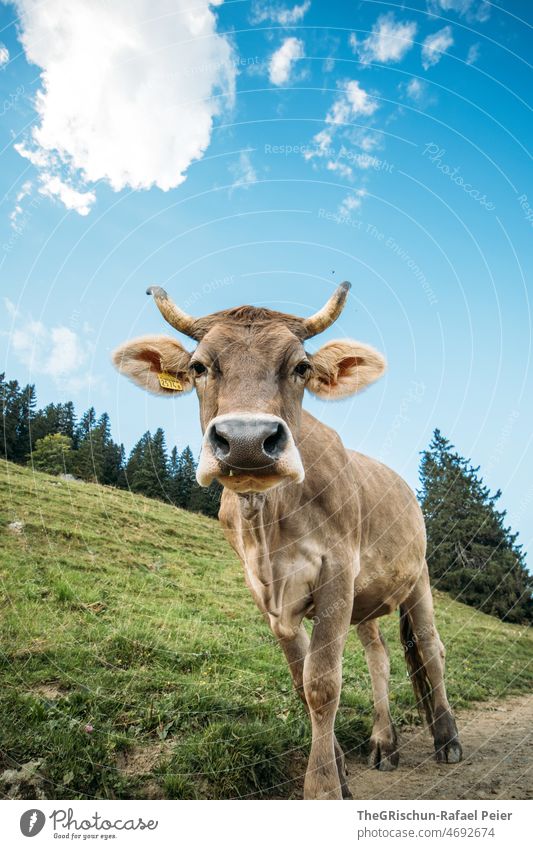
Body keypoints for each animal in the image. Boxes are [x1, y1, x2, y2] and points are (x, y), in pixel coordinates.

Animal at [113, 284, 462, 800]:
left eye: (300, 367)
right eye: (199, 367)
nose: (246, 441)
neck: (269, 524)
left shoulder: (337, 570)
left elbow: (323, 683)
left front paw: (322, 788)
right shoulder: (266, 592)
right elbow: (301, 683)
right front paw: (339, 773)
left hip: (418, 576)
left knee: (431, 651)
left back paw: (447, 738)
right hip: (367, 601)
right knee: (379, 658)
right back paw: (384, 742)